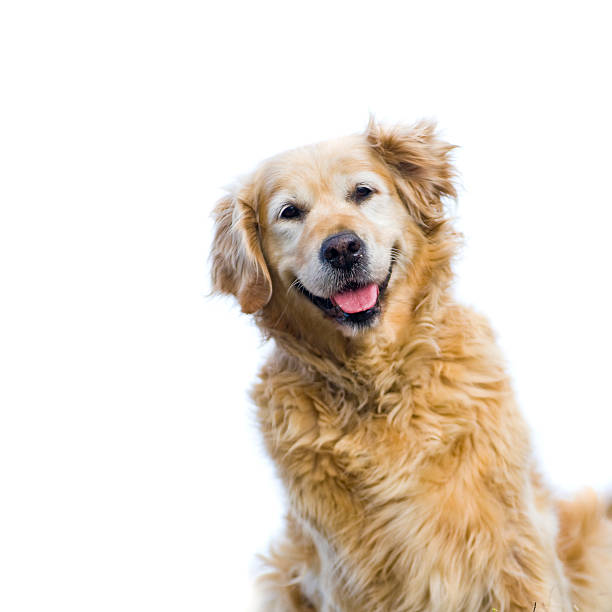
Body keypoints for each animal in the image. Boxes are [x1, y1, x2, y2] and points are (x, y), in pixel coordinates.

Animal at [210, 120, 612, 612]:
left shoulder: (512, 543)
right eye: (290, 212)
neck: (379, 381)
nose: (342, 248)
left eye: (362, 192)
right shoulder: (351, 573)